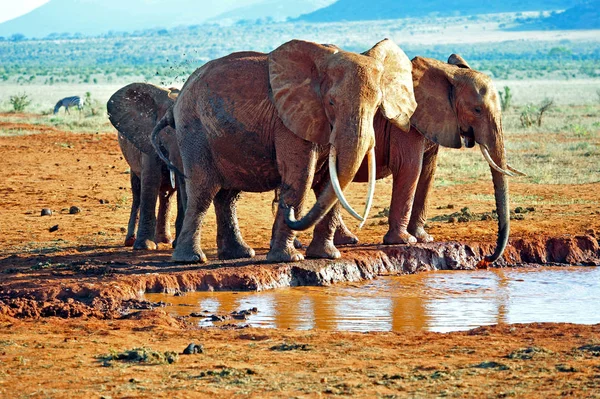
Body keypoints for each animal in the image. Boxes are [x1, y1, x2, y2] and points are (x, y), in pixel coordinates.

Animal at [106, 83, 184, 252]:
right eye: (167, 130)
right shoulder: (148, 140)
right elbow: (151, 180)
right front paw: (145, 247)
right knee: (137, 191)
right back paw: (130, 241)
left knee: (167, 194)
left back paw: (165, 240)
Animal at [154, 39, 418, 264]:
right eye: (331, 103)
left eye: (377, 105)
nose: (287, 211)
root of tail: (176, 102)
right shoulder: (289, 120)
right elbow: (301, 177)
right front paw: (289, 258)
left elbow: (329, 182)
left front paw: (326, 256)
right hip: (193, 129)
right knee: (203, 190)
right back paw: (191, 260)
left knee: (228, 196)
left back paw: (239, 254)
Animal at [328, 54, 524, 266]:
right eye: (477, 110)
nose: (488, 258)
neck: (449, 73)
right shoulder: (406, 123)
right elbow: (410, 168)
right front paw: (404, 241)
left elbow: (428, 172)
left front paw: (424, 238)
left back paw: (347, 240)